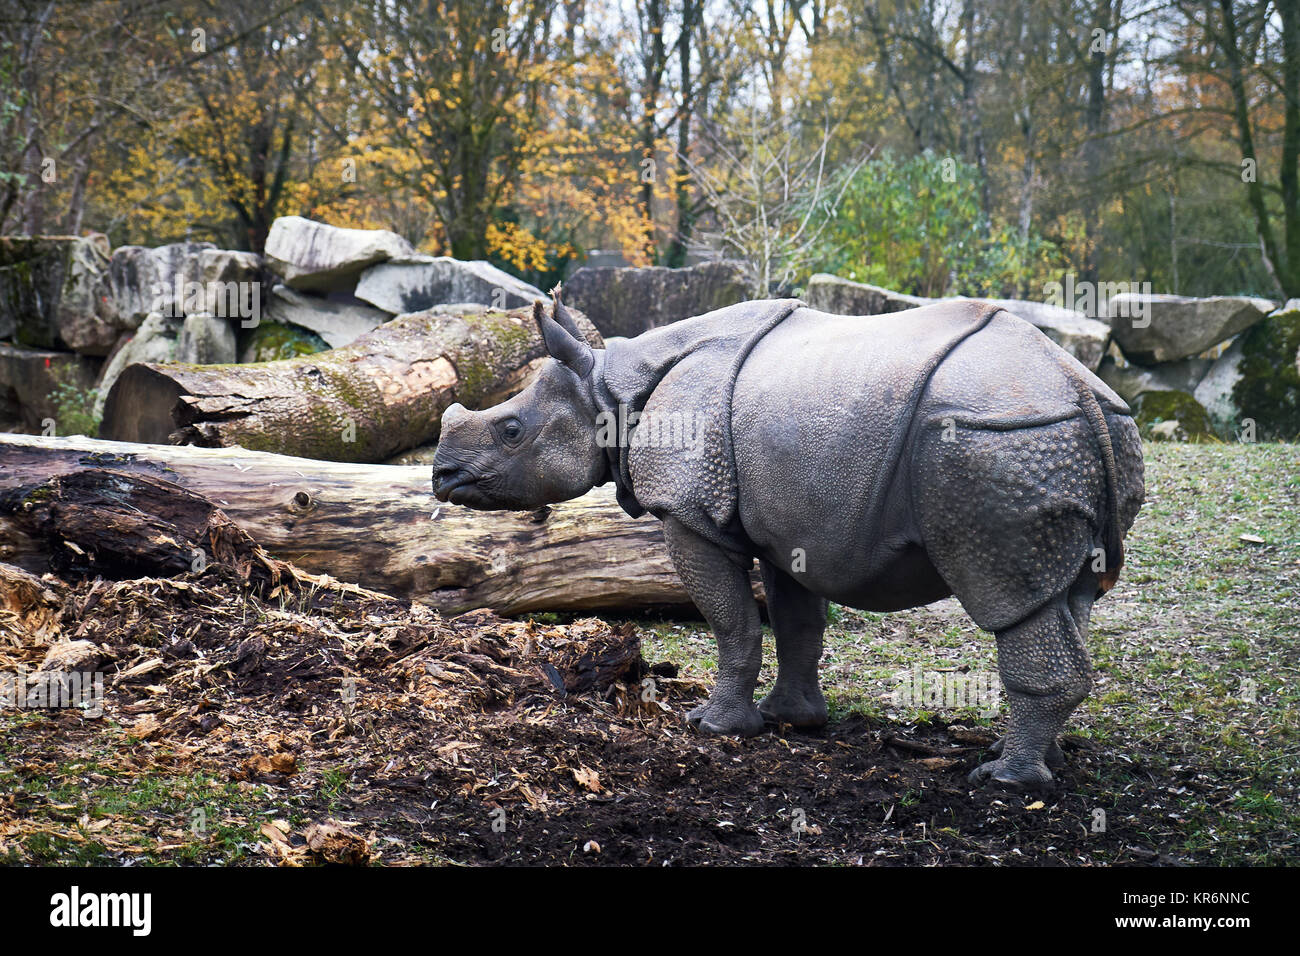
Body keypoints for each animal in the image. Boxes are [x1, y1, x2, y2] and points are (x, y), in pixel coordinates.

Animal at [432, 289, 1144, 790]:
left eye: (511, 431)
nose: (441, 477)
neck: (609, 388)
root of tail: (1078, 383)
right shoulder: (787, 521)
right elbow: (797, 620)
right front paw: (791, 721)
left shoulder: (690, 513)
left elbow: (732, 623)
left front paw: (712, 727)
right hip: (1079, 432)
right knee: (1066, 597)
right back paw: (1029, 761)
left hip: (997, 439)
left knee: (1008, 598)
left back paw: (1004, 781)